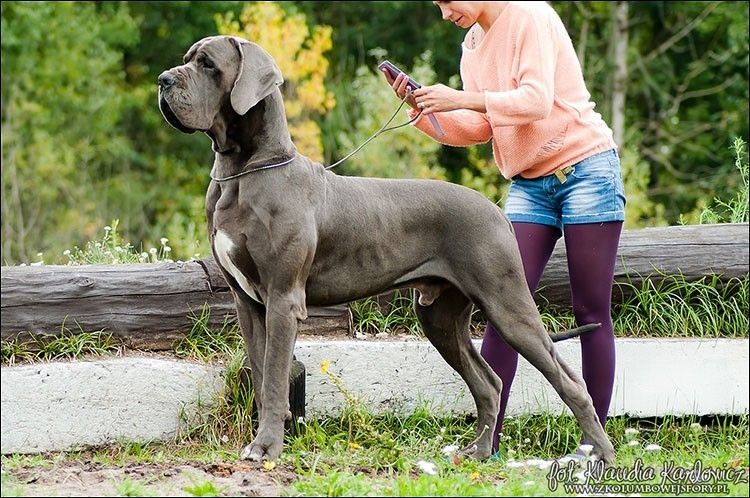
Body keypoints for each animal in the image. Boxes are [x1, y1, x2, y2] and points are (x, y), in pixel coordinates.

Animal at [158, 35, 615, 464]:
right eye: (186, 59)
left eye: (208, 64)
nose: (163, 80)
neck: (242, 171)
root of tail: (495, 210)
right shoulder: (248, 302)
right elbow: (260, 371)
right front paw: (265, 440)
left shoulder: (283, 298)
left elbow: (273, 378)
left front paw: (266, 448)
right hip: (440, 316)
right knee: (490, 383)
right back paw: (478, 454)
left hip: (508, 305)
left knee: (571, 382)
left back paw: (601, 456)